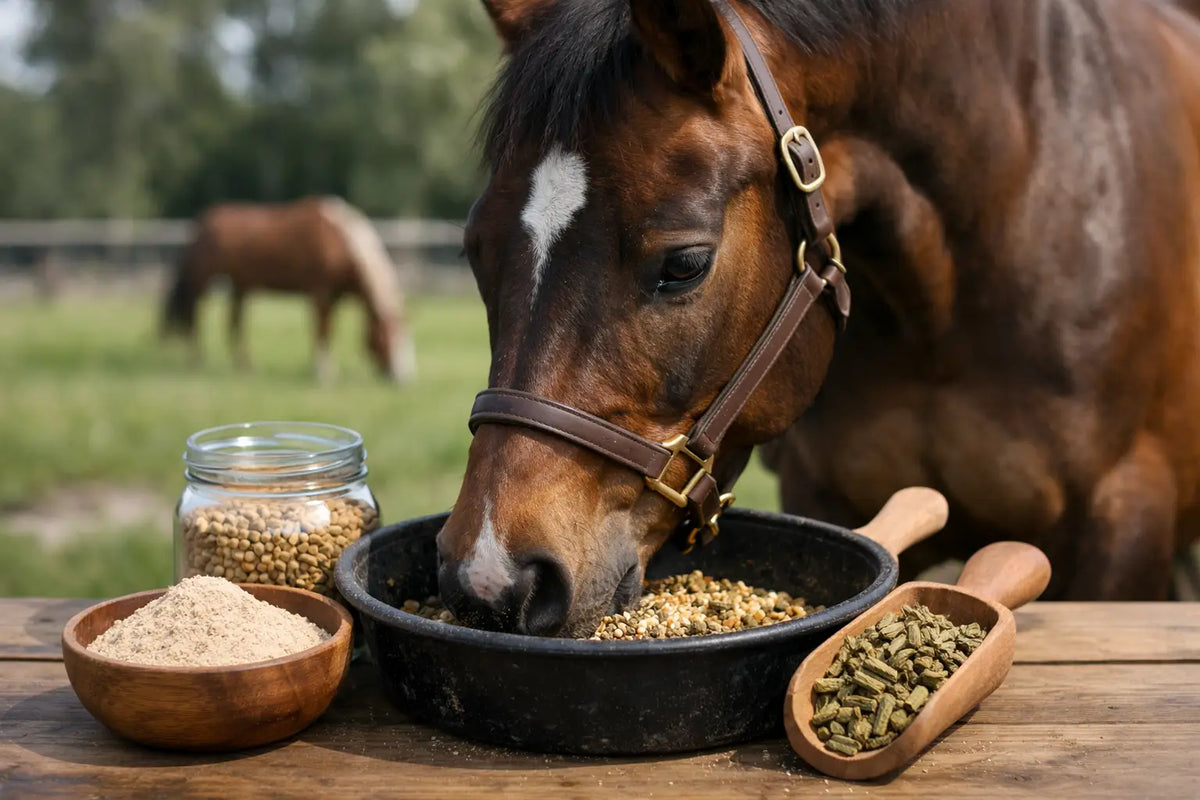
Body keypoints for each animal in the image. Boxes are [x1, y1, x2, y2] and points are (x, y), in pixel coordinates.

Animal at [162, 196, 416, 383]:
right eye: (388, 336)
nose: (402, 378)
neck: (339, 241)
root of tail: (201, 223)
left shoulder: (333, 296)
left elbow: (325, 330)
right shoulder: (321, 293)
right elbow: (323, 330)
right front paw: (324, 372)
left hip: (240, 285)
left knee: (234, 323)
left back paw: (245, 365)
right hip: (202, 280)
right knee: (194, 315)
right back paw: (196, 360)